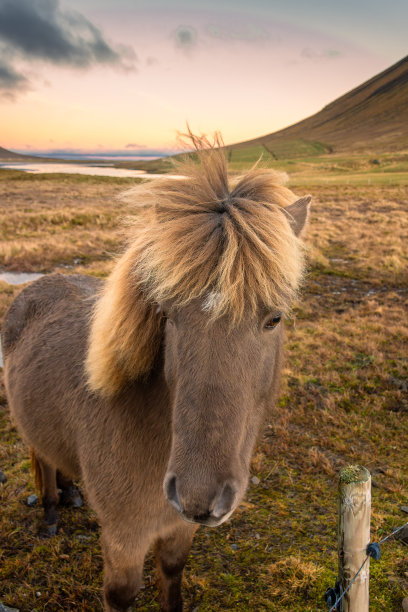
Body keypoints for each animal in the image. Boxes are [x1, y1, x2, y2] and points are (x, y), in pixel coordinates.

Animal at [2, 135, 310, 612]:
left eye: (274, 318)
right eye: (168, 313)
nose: (199, 497)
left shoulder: (179, 527)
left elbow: (172, 573)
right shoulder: (124, 537)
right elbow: (123, 593)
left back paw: (72, 494)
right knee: (42, 459)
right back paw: (52, 511)